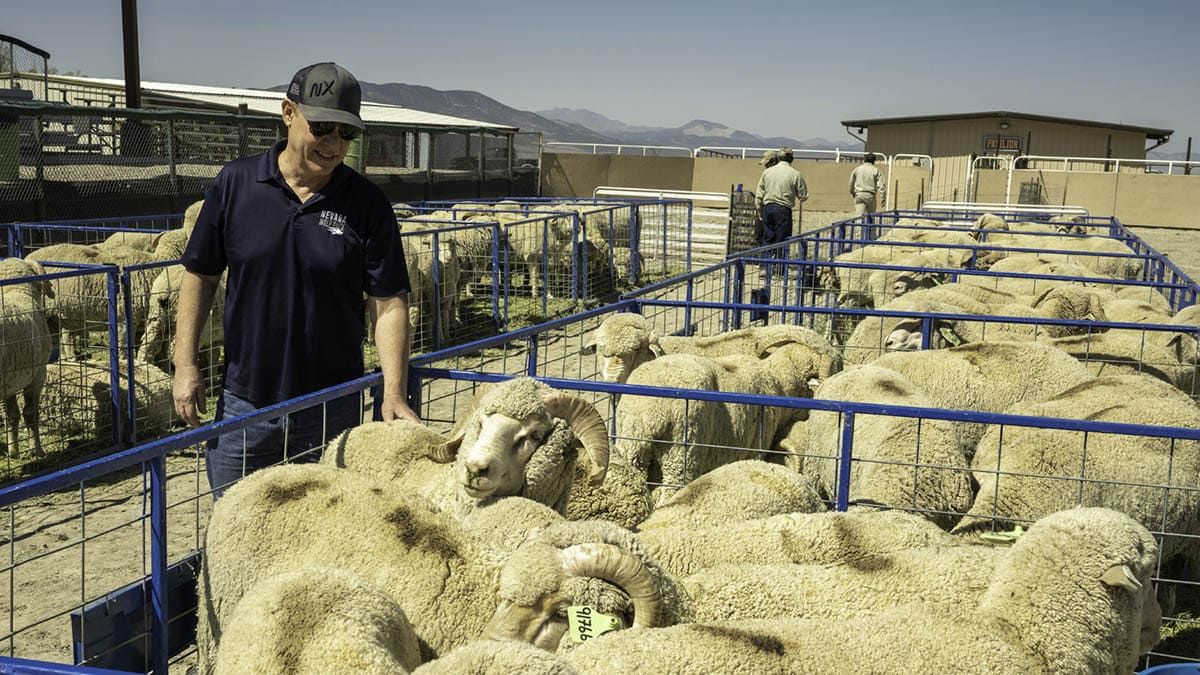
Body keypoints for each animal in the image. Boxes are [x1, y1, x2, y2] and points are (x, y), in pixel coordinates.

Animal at [0, 257, 54, 456]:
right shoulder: (38, 373)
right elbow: (31, 413)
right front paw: (37, 449)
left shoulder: (9, 382)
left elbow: (12, 415)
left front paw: (13, 450)